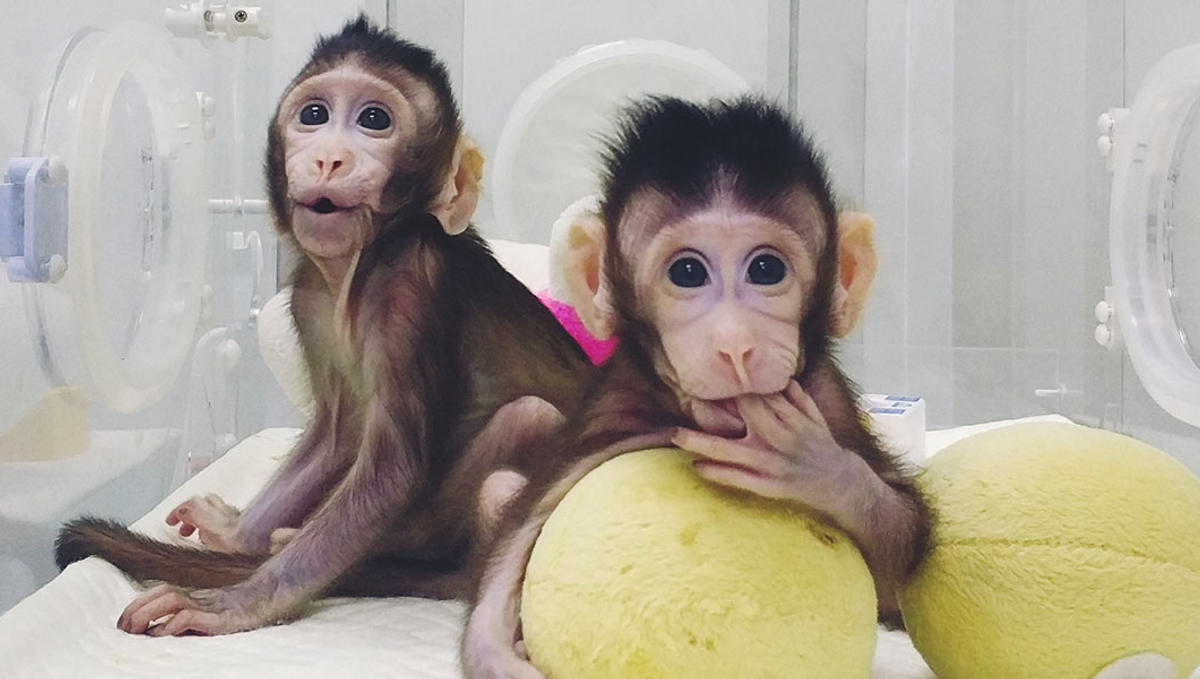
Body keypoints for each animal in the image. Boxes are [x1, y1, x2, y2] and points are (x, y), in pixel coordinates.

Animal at [53, 16, 592, 636]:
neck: (355, 273)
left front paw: (232, 603)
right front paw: (236, 535)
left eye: (375, 120)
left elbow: (392, 472)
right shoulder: (308, 295)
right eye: (314, 114)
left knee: (528, 418)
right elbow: (336, 435)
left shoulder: (408, 285)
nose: (329, 159)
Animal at [460, 96, 930, 679]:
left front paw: (817, 467)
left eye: (766, 269)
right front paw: (494, 652)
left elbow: (899, 556)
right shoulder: (615, 409)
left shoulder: (827, 399)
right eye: (687, 272)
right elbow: (531, 514)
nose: (734, 344)